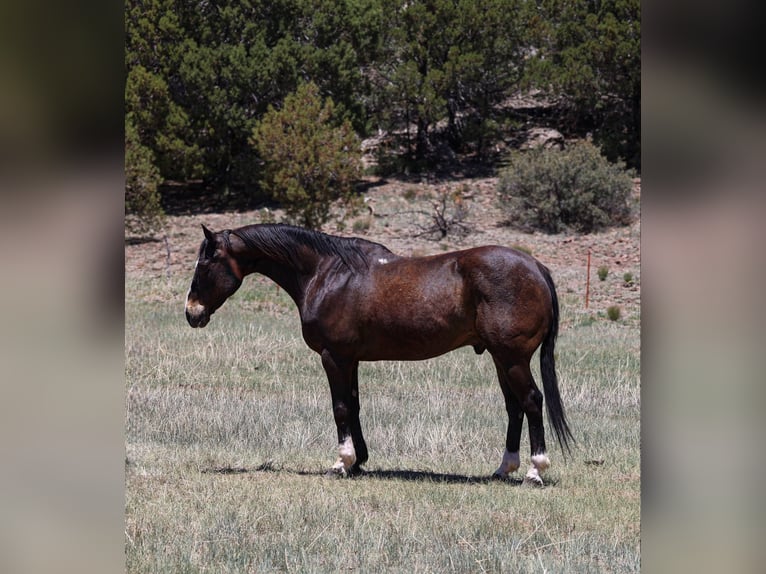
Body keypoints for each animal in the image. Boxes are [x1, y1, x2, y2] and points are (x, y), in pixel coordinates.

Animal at [185, 223, 573, 485]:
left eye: (204, 266)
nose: (191, 313)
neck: (327, 273)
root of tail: (536, 268)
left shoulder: (333, 357)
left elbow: (340, 407)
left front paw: (342, 463)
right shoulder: (350, 359)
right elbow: (354, 406)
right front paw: (359, 461)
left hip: (512, 358)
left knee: (532, 401)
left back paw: (535, 470)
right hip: (499, 358)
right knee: (514, 407)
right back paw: (504, 468)